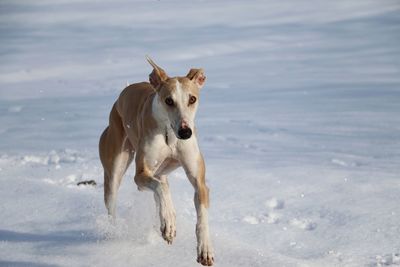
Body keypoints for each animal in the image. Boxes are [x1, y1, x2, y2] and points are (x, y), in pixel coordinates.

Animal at [99, 56, 214, 266]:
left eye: (192, 99)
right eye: (169, 100)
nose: (185, 132)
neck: (170, 134)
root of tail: (122, 94)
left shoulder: (200, 182)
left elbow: (202, 214)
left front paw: (205, 249)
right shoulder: (140, 175)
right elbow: (160, 189)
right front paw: (168, 221)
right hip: (114, 167)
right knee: (115, 199)